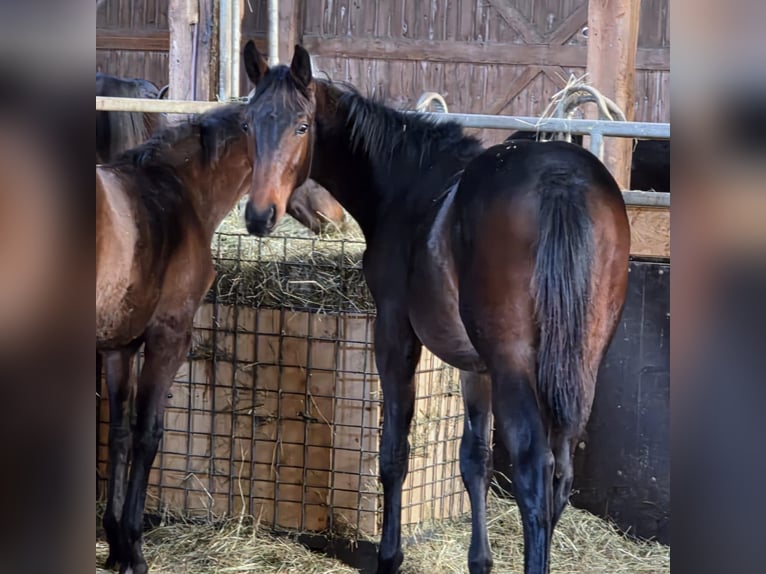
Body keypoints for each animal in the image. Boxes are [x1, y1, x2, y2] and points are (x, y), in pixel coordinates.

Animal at [241, 43, 631, 574]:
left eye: (302, 126)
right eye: (247, 125)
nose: (259, 215)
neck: (407, 181)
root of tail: (561, 179)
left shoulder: (394, 332)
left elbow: (394, 452)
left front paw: (389, 556)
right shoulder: (476, 367)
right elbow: (474, 458)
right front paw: (479, 561)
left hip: (515, 364)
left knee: (535, 471)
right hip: (580, 363)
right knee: (560, 474)